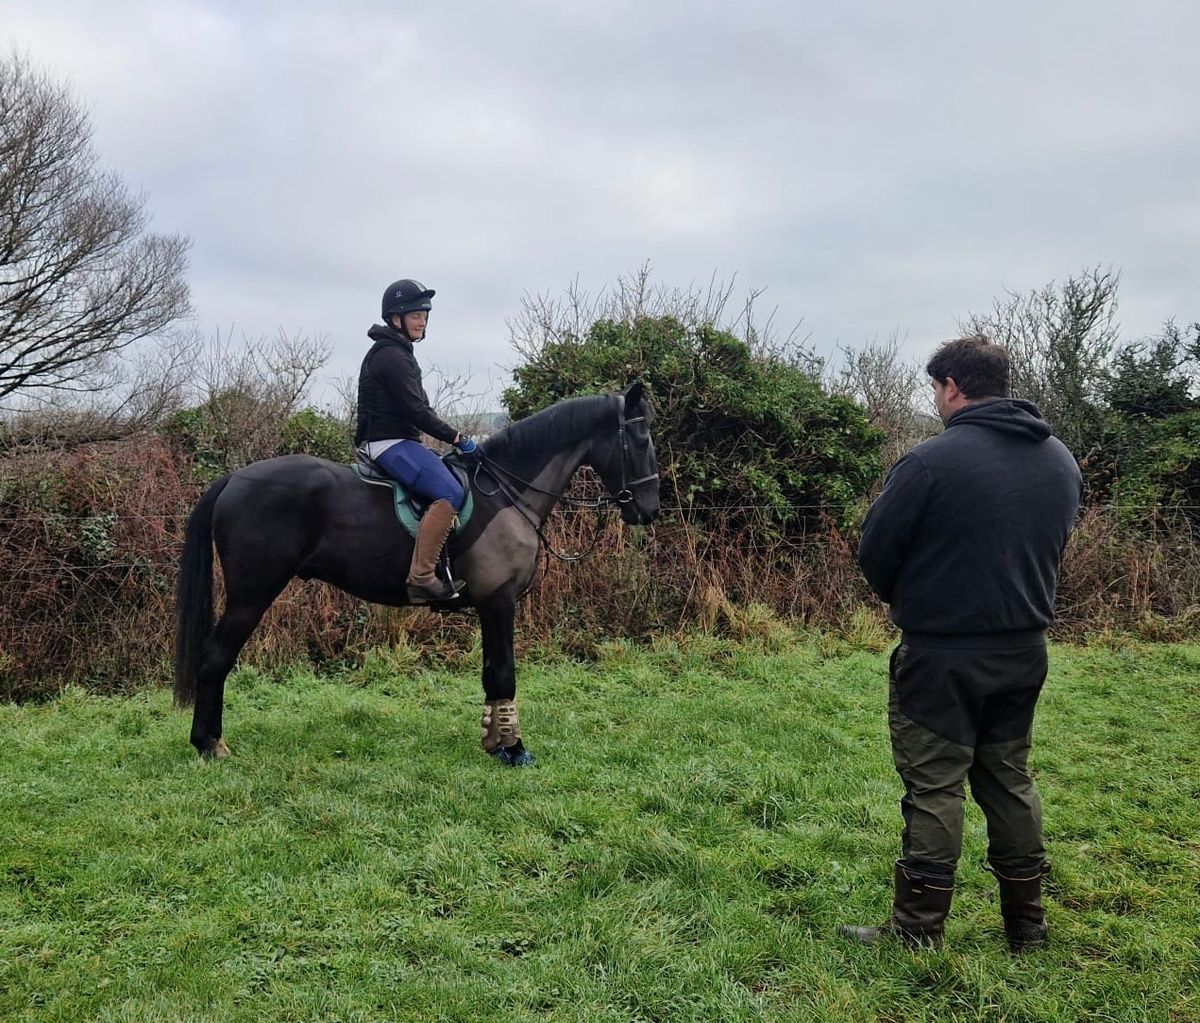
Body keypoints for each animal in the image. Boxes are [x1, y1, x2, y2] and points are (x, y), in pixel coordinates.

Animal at [174, 384, 662, 768]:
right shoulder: (500, 600)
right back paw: (208, 744)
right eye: (641, 440)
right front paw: (515, 749)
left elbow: (490, 674)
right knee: (216, 658)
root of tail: (234, 479)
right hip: (251, 595)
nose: (649, 510)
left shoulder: (489, 605)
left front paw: (493, 742)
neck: (507, 493)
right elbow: (505, 673)